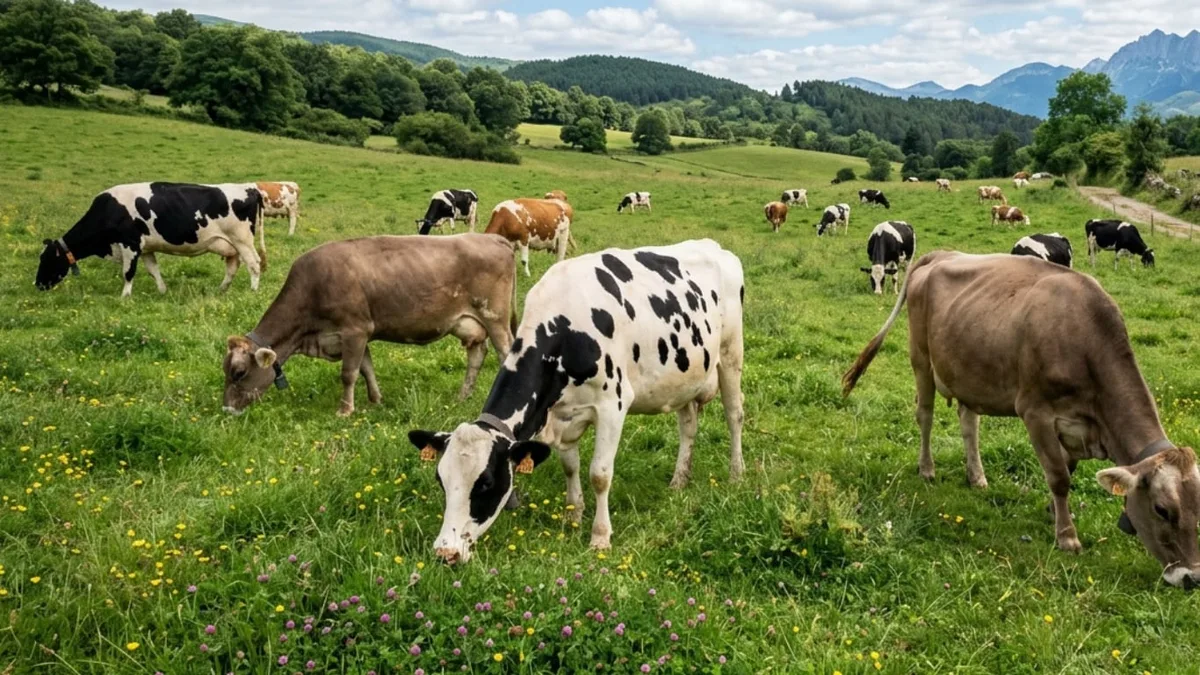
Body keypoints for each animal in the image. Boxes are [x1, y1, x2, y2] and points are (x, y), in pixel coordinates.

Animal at [36, 182, 265, 298]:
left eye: (47, 260)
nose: (37, 284)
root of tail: (250, 188)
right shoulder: (145, 249)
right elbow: (153, 270)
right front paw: (162, 291)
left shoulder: (130, 244)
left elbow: (128, 272)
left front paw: (125, 297)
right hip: (230, 245)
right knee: (232, 267)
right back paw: (221, 290)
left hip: (242, 239)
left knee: (254, 263)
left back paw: (253, 290)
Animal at [223, 234, 517, 417]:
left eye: (239, 372)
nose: (226, 409)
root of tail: (491, 237)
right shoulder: (359, 335)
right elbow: (367, 369)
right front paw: (376, 400)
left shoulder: (354, 330)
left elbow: (349, 373)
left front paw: (345, 410)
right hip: (471, 324)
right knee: (477, 355)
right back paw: (462, 397)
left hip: (495, 317)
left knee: (506, 354)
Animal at [408, 239, 745, 564]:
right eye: (441, 479)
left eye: (486, 483)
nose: (446, 553)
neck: (563, 330)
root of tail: (716, 247)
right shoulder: (561, 414)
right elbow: (570, 466)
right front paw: (572, 516)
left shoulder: (613, 405)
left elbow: (600, 474)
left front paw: (600, 537)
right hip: (685, 377)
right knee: (688, 425)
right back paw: (679, 480)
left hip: (731, 354)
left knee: (734, 415)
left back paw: (736, 474)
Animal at [842, 252, 1200, 588]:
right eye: (1162, 510)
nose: (1192, 578)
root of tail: (942, 254)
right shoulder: (1035, 412)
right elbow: (1059, 476)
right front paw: (1067, 536)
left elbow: (1067, 469)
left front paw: (1053, 513)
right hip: (921, 358)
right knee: (925, 415)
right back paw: (927, 469)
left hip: (970, 369)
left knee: (969, 423)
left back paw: (977, 476)